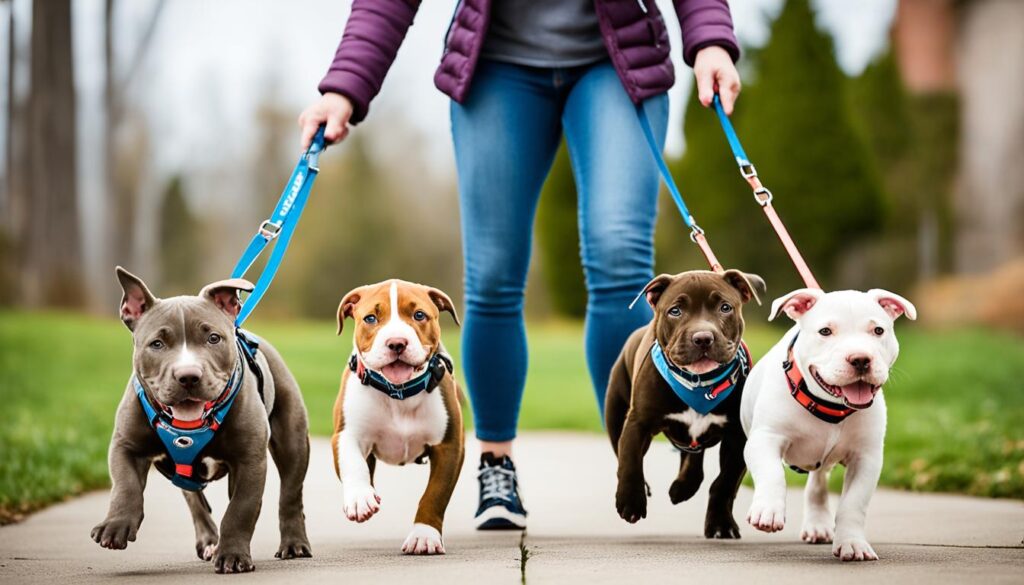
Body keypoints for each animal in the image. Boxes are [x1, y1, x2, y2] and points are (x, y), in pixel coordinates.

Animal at [93, 268, 313, 573]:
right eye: (157, 344)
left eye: (213, 339)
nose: (188, 376)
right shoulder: (126, 446)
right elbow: (125, 486)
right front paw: (116, 526)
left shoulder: (250, 461)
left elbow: (241, 509)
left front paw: (233, 555)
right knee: (194, 499)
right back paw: (209, 541)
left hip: (293, 441)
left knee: (290, 493)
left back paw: (293, 544)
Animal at [331, 278, 464, 553]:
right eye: (370, 318)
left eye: (419, 315)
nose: (396, 342)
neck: (398, 393)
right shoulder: (345, 434)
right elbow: (353, 462)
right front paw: (360, 497)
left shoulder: (450, 445)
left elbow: (435, 493)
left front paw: (424, 535)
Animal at [602, 270, 765, 540]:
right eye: (675, 311)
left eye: (725, 307)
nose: (703, 338)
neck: (700, 384)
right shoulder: (638, 423)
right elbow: (630, 461)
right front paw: (631, 502)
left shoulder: (738, 436)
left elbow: (725, 482)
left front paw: (721, 524)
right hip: (615, 412)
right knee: (620, 450)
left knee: (694, 460)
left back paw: (682, 488)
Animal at [741, 288, 917, 561]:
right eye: (825, 331)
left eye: (878, 330)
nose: (860, 359)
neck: (829, 406)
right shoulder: (766, 439)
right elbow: (772, 474)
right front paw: (768, 510)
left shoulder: (866, 459)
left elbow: (853, 504)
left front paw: (852, 543)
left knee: (818, 483)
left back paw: (817, 524)